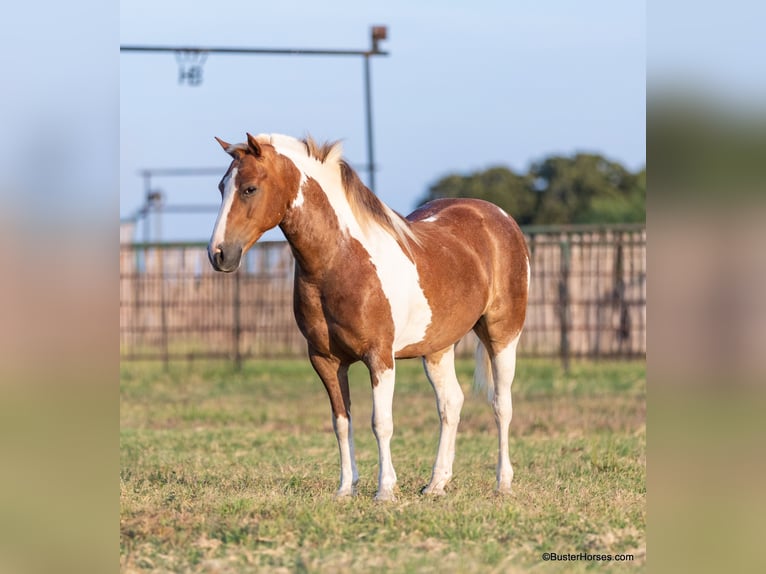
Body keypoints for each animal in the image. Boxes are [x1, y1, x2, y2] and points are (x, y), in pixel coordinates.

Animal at [208, 133, 529, 501]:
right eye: (221, 187)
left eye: (249, 189)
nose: (218, 254)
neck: (341, 260)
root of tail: (498, 216)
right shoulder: (326, 360)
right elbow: (341, 422)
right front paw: (345, 488)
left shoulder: (380, 358)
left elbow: (381, 423)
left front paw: (385, 490)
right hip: (437, 347)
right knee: (451, 404)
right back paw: (436, 484)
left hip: (503, 336)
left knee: (501, 404)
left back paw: (503, 483)